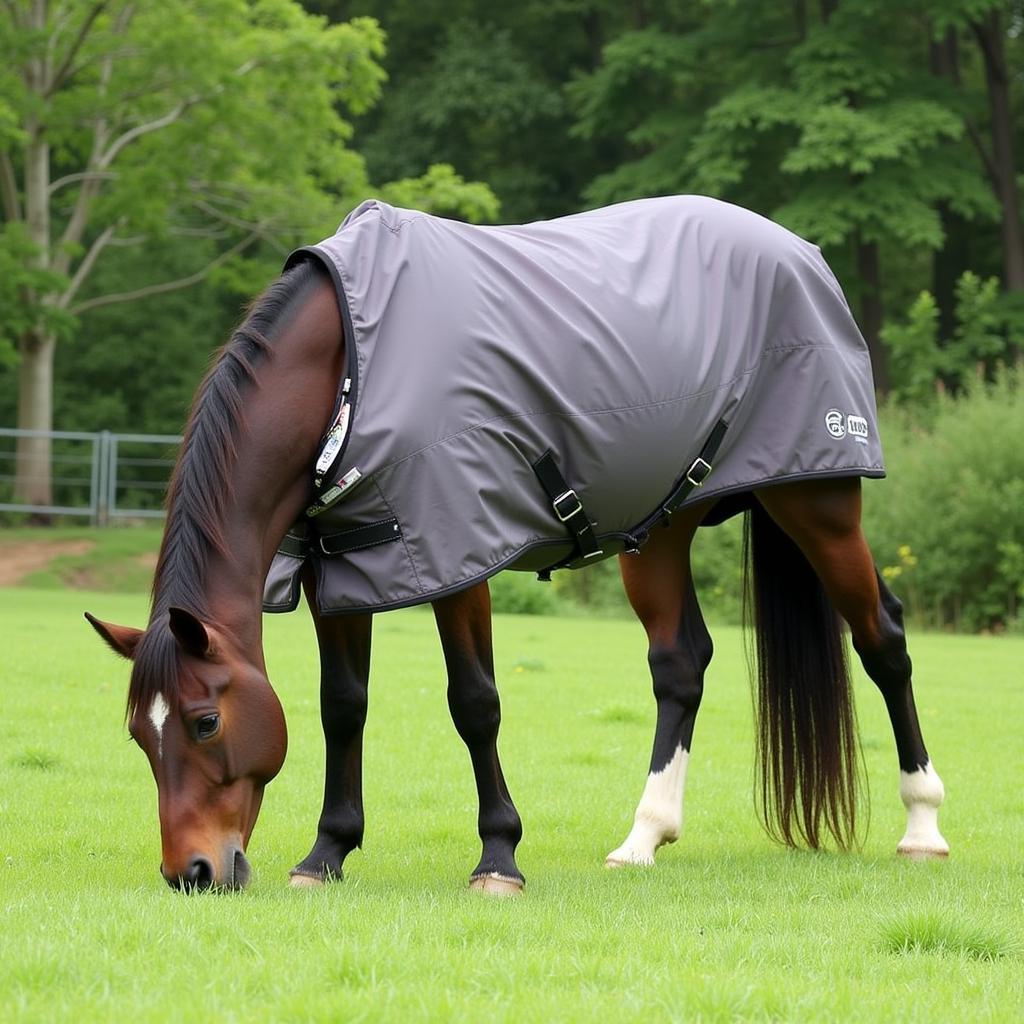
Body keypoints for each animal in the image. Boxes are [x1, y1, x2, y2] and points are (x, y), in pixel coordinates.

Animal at [83, 195, 946, 892]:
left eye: (203, 723)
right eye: (137, 735)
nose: (192, 872)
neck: (348, 371)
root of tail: (799, 252)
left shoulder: (458, 552)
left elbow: (475, 704)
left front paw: (498, 858)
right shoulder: (344, 566)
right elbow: (342, 706)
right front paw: (327, 854)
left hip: (817, 502)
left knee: (884, 637)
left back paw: (922, 825)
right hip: (661, 528)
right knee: (681, 666)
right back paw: (644, 837)